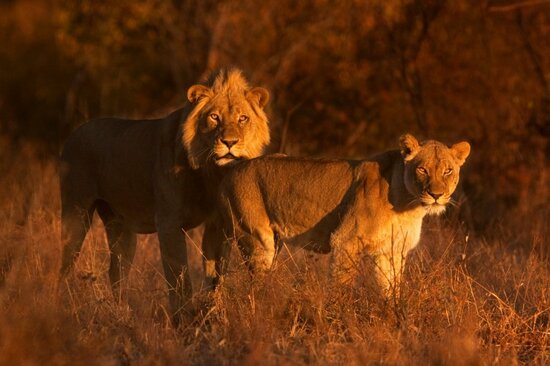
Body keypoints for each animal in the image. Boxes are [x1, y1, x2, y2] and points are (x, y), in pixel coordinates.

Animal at [59, 68, 272, 318]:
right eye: (214, 117)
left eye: (243, 119)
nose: (229, 142)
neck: (210, 172)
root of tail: (74, 133)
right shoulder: (169, 223)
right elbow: (180, 276)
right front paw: (184, 318)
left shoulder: (218, 224)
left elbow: (215, 274)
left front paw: (212, 312)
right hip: (76, 213)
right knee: (65, 265)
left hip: (120, 226)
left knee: (116, 272)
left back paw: (122, 313)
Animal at [216, 136, 470, 294]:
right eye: (422, 169)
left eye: (448, 171)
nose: (436, 195)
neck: (409, 206)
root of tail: (234, 168)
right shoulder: (345, 241)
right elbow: (341, 287)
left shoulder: (391, 252)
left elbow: (392, 291)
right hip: (257, 240)